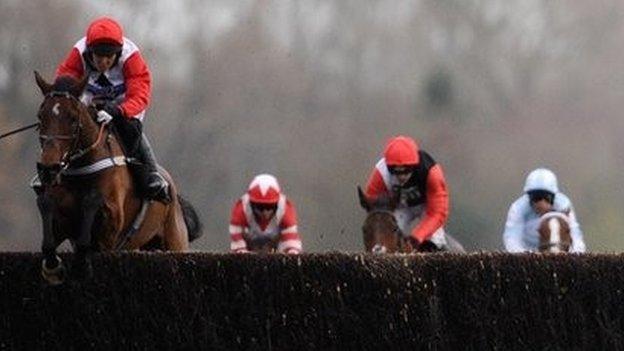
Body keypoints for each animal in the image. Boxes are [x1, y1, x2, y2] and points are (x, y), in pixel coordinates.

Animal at [33, 73, 202, 284]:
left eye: (72, 118)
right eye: (41, 116)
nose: (48, 167)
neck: (82, 168)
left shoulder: (110, 229)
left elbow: (93, 220)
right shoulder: (62, 221)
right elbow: (48, 224)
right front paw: (53, 268)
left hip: (174, 242)